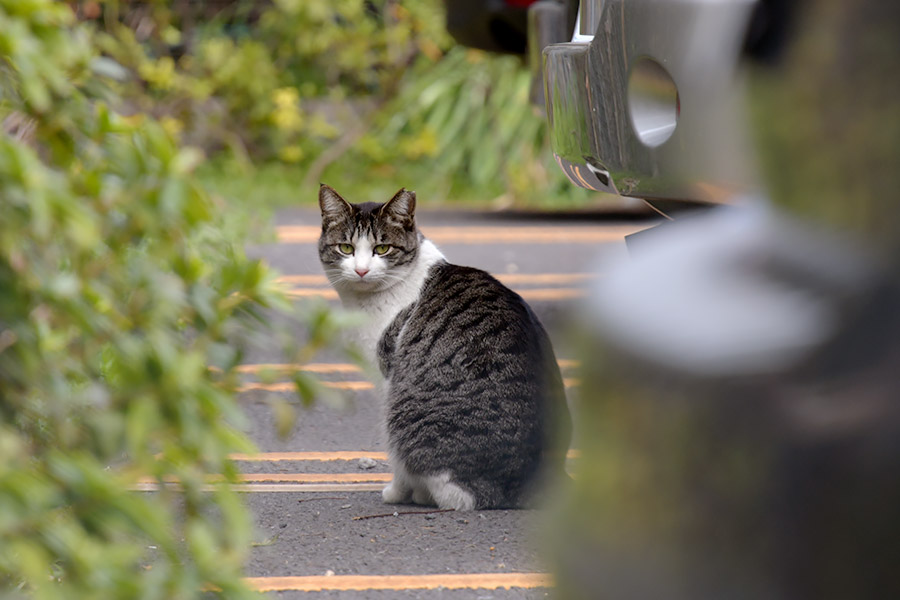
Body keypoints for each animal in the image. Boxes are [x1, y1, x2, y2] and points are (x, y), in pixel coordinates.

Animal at [316, 185, 568, 508]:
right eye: (345, 248)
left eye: (382, 249)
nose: (361, 271)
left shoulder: (388, 378)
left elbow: (396, 461)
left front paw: (396, 493)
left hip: (405, 413)